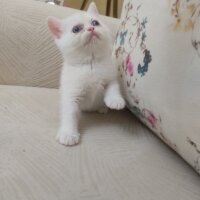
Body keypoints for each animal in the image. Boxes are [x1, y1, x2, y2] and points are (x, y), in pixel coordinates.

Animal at [47, 2, 125, 146]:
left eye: (95, 22)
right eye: (76, 29)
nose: (91, 28)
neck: (91, 64)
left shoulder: (110, 76)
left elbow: (113, 87)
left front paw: (115, 100)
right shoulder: (71, 93)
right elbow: (70, 113)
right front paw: (68, 133)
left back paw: (102, 107)